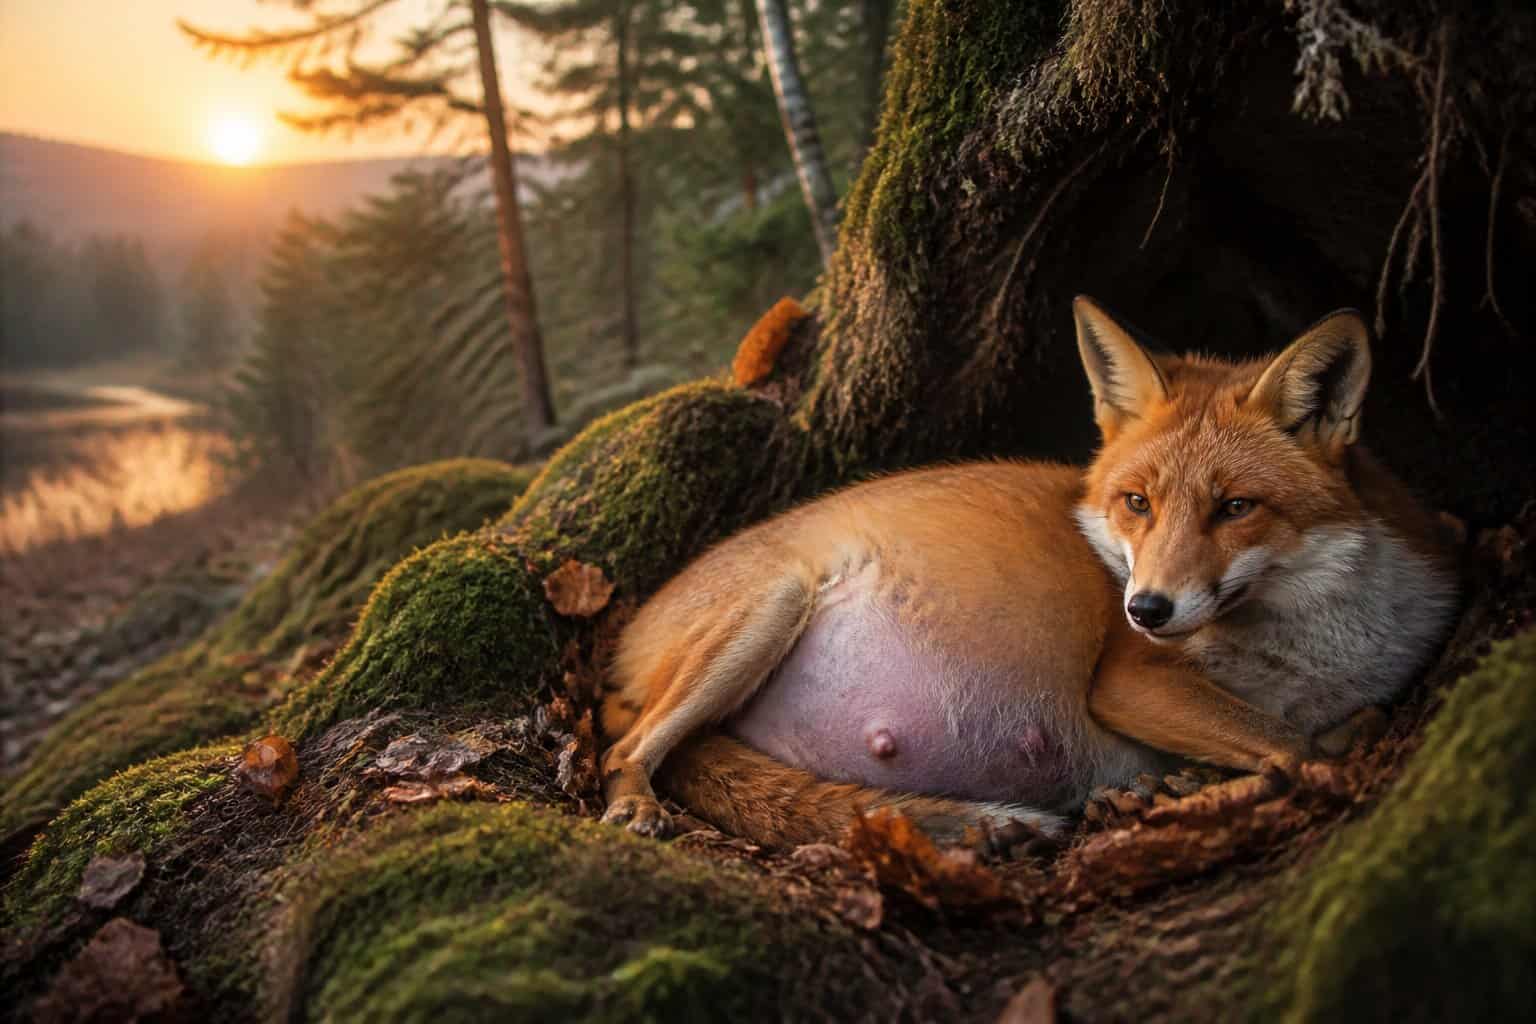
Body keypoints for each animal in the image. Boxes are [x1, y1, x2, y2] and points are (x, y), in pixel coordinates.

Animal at [597, 297, 1460, 846]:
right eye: (1137, 503)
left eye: (1236, 507)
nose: (1146, 609)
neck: (1317, 637)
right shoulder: (1129, 681)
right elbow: (1296, 746)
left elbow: (1323, 731)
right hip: (772, 605)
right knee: (625, 749)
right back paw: (634, 802)